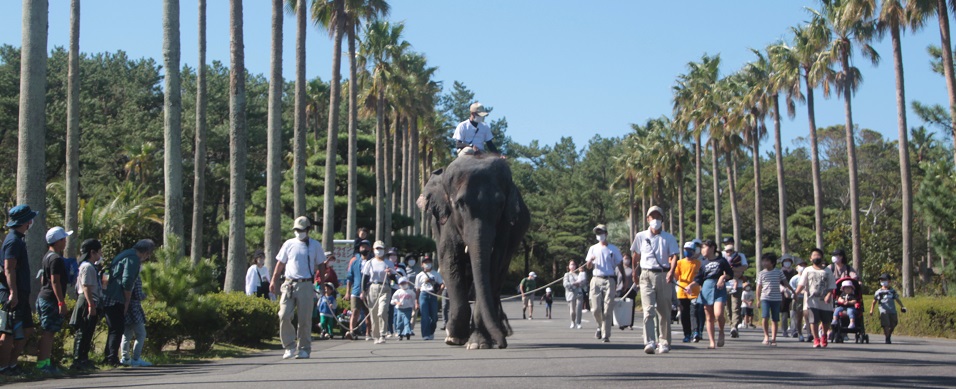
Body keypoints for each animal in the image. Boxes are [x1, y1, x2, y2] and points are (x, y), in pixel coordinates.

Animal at [416, 153, 532, 348]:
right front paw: (454, 337)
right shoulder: (446, 223)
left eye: (500, 204)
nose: (502, 344)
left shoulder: (505, 226)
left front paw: (478, 343)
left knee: (497, 280)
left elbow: (493, 266)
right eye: (460, 204)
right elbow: (449, 262)